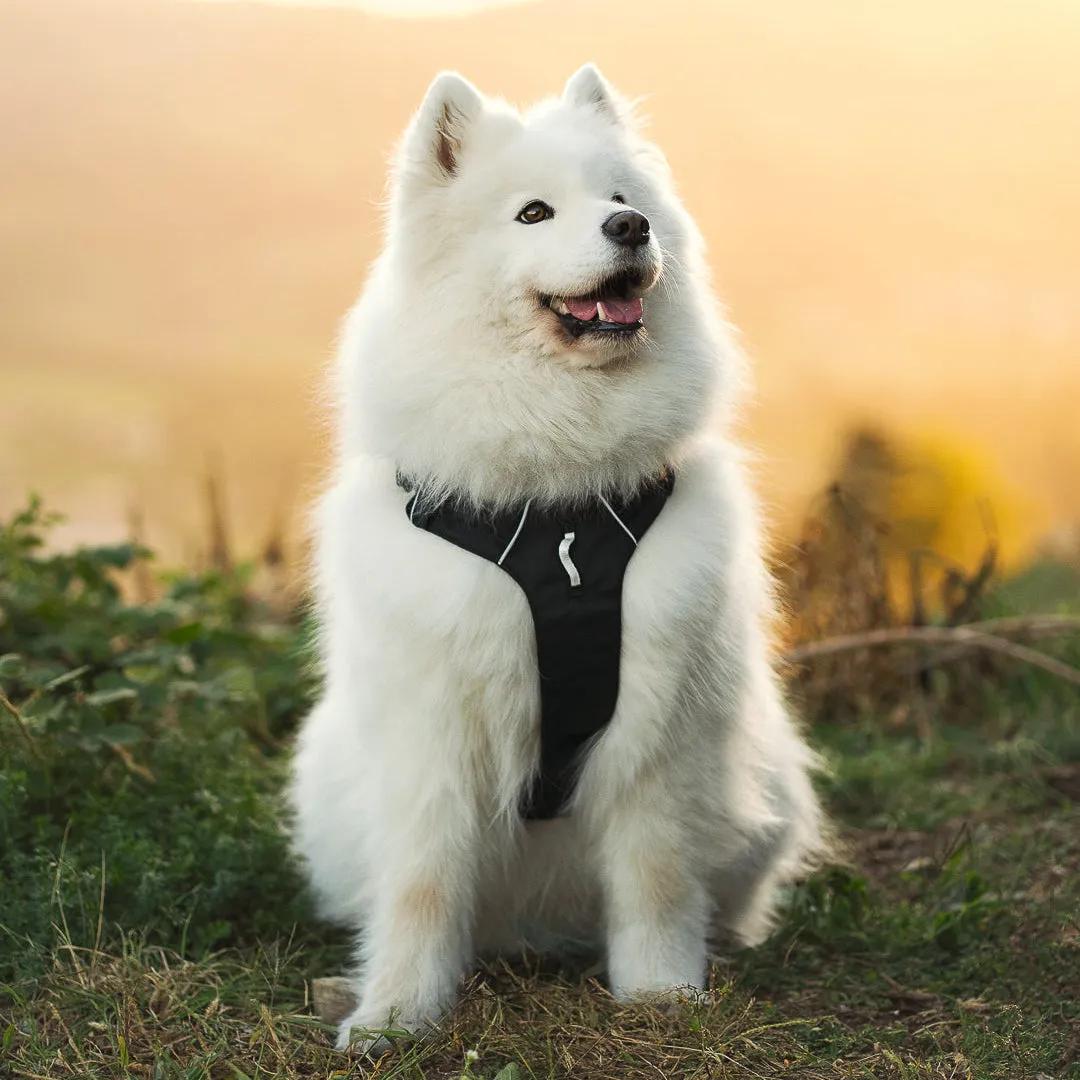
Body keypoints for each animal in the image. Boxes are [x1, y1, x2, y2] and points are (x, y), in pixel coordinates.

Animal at [289, 63, 825, 1053]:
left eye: (619, 199)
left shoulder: (659, 727)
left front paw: (662, 993)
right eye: (533, 214)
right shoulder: (432, 731)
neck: (560, 508)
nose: (632, 228)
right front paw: (396, 1015)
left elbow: (657, 879)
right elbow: (421, 888)